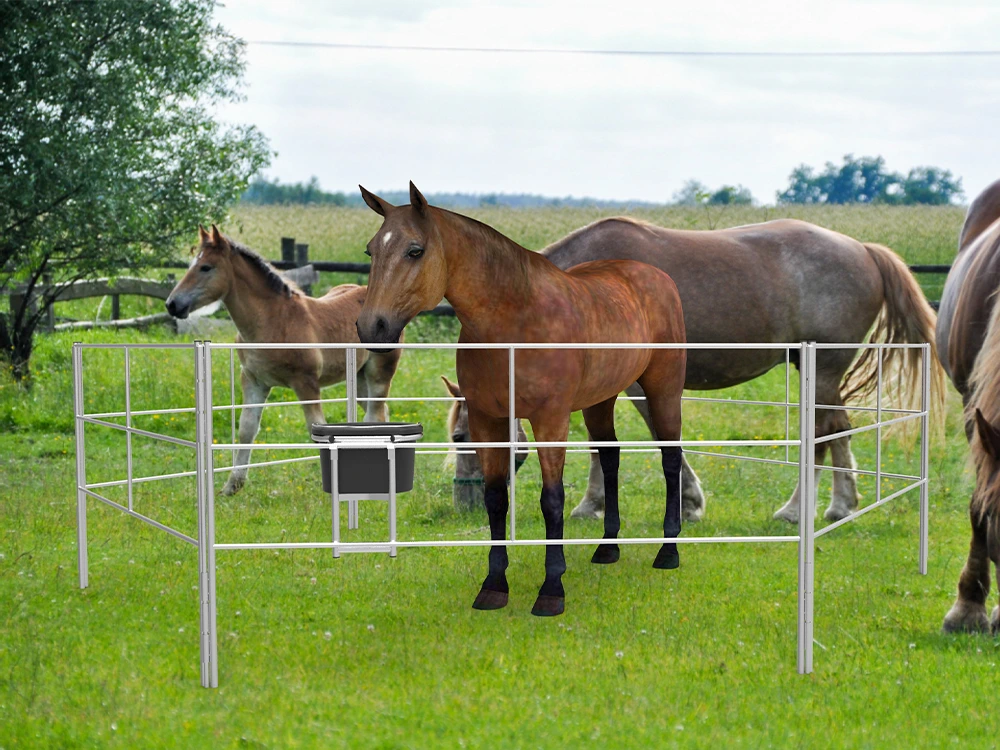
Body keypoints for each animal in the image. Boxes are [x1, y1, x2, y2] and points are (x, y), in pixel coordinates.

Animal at [354, 182, 688, 616]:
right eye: (371, 251)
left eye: (415, 250)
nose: (371, 327)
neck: (514, 321)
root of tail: (656, 276)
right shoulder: (487, 419)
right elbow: (496, 498)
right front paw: (494, 586)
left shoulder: (550, 420)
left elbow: (552, 499)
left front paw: (551, 590)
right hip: (600, 400)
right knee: (610, 457)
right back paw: (607, 547)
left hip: (663, 389)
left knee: (670, 457)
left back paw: (668, 550)